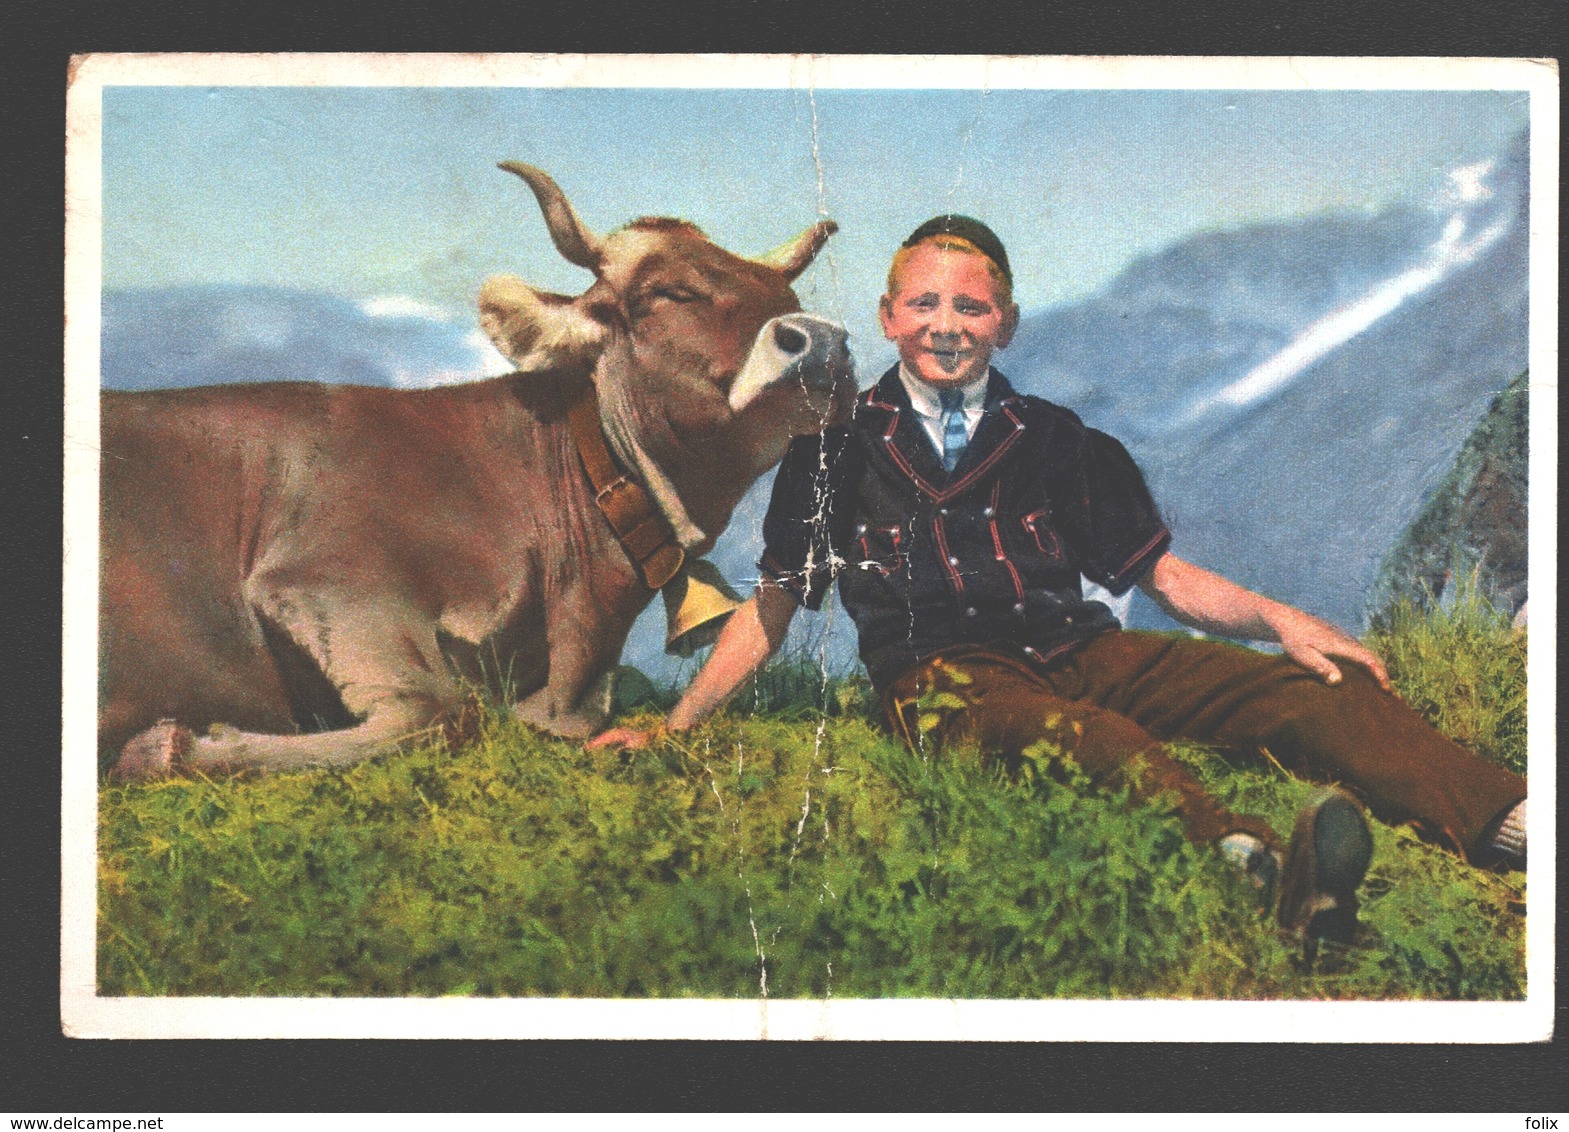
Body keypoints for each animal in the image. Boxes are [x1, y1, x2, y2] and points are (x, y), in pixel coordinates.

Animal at [98, 160, 853, 778]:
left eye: (787, 297)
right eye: (671, 292)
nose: (821, 341)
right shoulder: (320, 577)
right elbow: (438, 712)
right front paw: (165, 748)